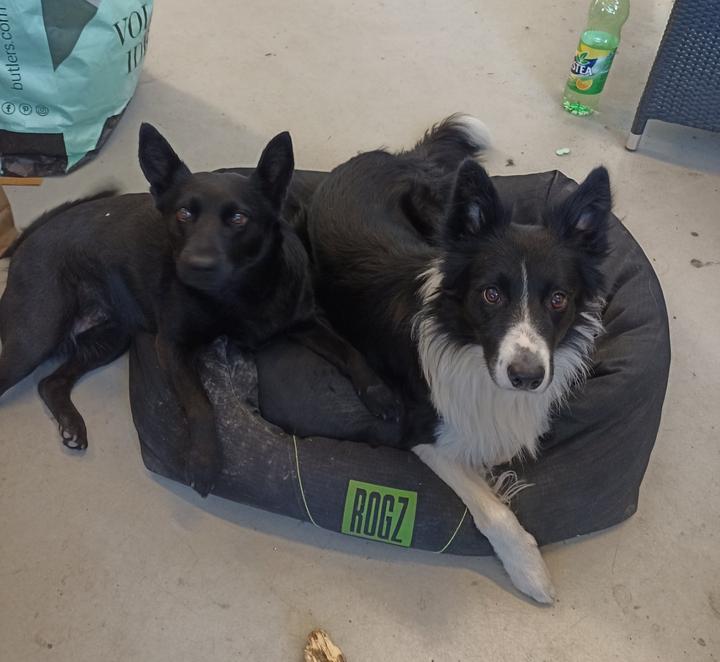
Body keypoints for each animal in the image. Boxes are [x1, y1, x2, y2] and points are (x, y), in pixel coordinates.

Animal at [0, 124, 397, 496]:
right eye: (184, 213)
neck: (239, 295)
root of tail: (26, 240)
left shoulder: (304, 322)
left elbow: (349, 350)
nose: (196, 265)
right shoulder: (171, 346)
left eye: (238, 218)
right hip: (35, 335)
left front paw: (379, 392)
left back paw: (70, 423)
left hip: (110, 339)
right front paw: (205, 460)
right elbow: (200, 402)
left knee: (51, 382)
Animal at [306, 115, 611, 602]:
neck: (468, 345)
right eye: (490, 294)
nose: (526, 377)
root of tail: (389, 156)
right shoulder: (421, 430)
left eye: (559, 299)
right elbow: (492, 508)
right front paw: (530, 571)